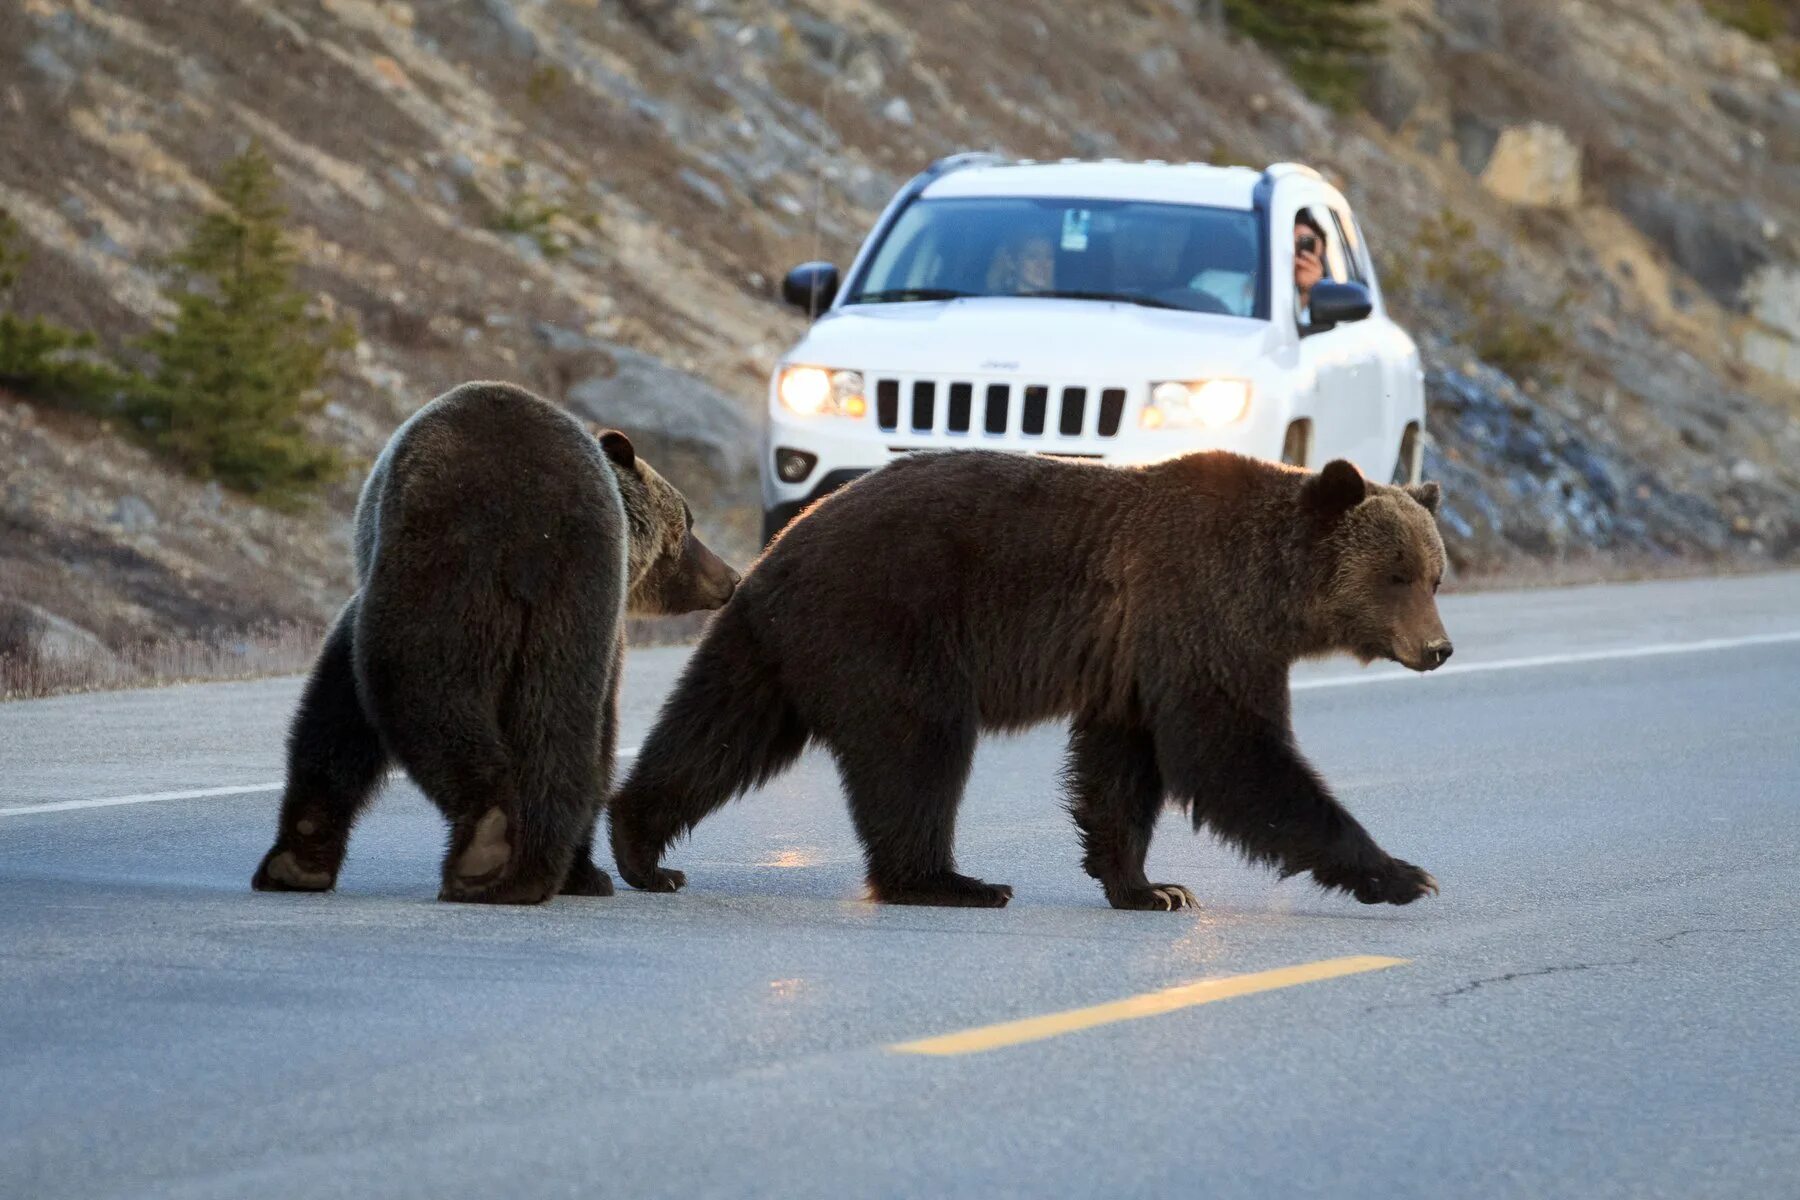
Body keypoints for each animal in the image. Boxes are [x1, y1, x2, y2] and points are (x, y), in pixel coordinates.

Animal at [253, 379, 738, 906]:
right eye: (688, 522)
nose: (729, 576)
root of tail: (528, 526)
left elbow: (338, 708)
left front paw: (298, 860)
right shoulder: (605, 626)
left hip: (453, 579)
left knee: (436, 698)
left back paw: (491, 850)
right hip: (563, 599)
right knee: (554, 726)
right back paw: (523, 868)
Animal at [612, 449, 1454, 910]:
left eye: (1434, 573)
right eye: (1397, 574)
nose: (1439, 648)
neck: (1274, 590)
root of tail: (774, 551)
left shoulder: (1133, 659)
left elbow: (1123, 768)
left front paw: (1149, 887)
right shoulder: (1199, 613)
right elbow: (1231, 753)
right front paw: (1401, 873)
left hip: (778, 647)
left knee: (718, 732)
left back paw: (641, 848)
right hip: (890, 621)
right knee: (918, 750)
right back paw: (949, 880)